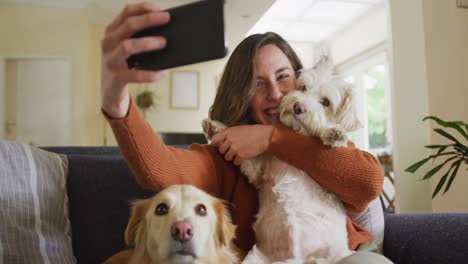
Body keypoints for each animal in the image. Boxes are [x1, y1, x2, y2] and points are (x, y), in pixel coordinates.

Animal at [202, 58, 362, 264]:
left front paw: (332, 133)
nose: (298, 107)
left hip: (332, 257)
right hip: (256, 258)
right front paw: (215, 127)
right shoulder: (259, 171)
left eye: (326, 102)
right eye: (303, 87)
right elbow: (248, 160)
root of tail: (298, 259)